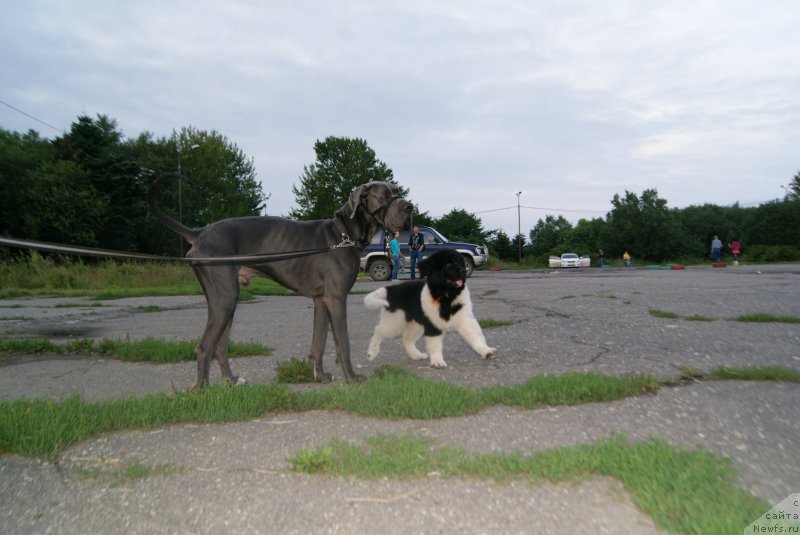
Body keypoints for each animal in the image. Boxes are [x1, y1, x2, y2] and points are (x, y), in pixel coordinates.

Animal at [366, 248, 496, 368]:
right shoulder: (433, 325)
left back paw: (416, 355)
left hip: (415, 324)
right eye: (449, 265)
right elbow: (435, 344)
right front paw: (437, 361)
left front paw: (486, 351)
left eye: (461, 263)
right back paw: (371, 352)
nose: (464, 271)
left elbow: (475, 336)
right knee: (378, 330)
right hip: (395, 322)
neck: (446, 296)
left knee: (406, 339)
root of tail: (392, 289)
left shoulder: (465, 320)